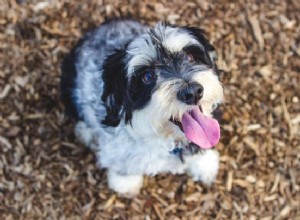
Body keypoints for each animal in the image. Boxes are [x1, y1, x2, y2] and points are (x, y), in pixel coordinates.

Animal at [60, 19, 223, 196]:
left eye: (189, 56)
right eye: (147, 76)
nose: (193, 93)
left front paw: (204, 164)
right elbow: (122, 164)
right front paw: (125, 182)